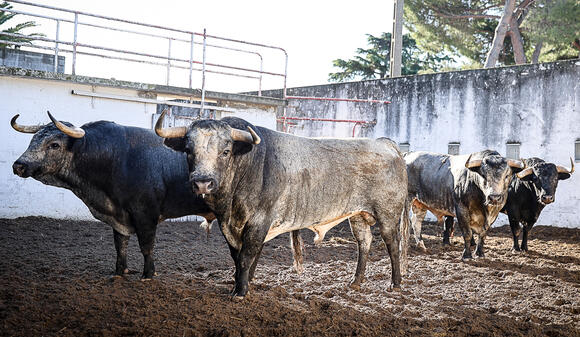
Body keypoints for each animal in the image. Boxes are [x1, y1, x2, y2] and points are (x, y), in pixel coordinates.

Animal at [10, 112, 215, 278]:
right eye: (33, 140)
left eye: (54, 144)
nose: (19, 165)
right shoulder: (119, 215)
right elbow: (120, 245)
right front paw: (119, 272)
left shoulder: (146, 214)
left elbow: (146, 246)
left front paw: (148, 274)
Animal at [154, 113, 408, 300]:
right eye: (189, 151)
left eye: (225, 151)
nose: (202, 182)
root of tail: (385, 143)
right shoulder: (229, 225)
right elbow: (239, 257)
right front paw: (242, 284)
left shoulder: (259, 221)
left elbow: (247, 256)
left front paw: (241, 292)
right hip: (358, 215)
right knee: (364, 243)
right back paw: (355, 282)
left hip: (388, 214)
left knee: (392, 244)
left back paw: (395, 283)